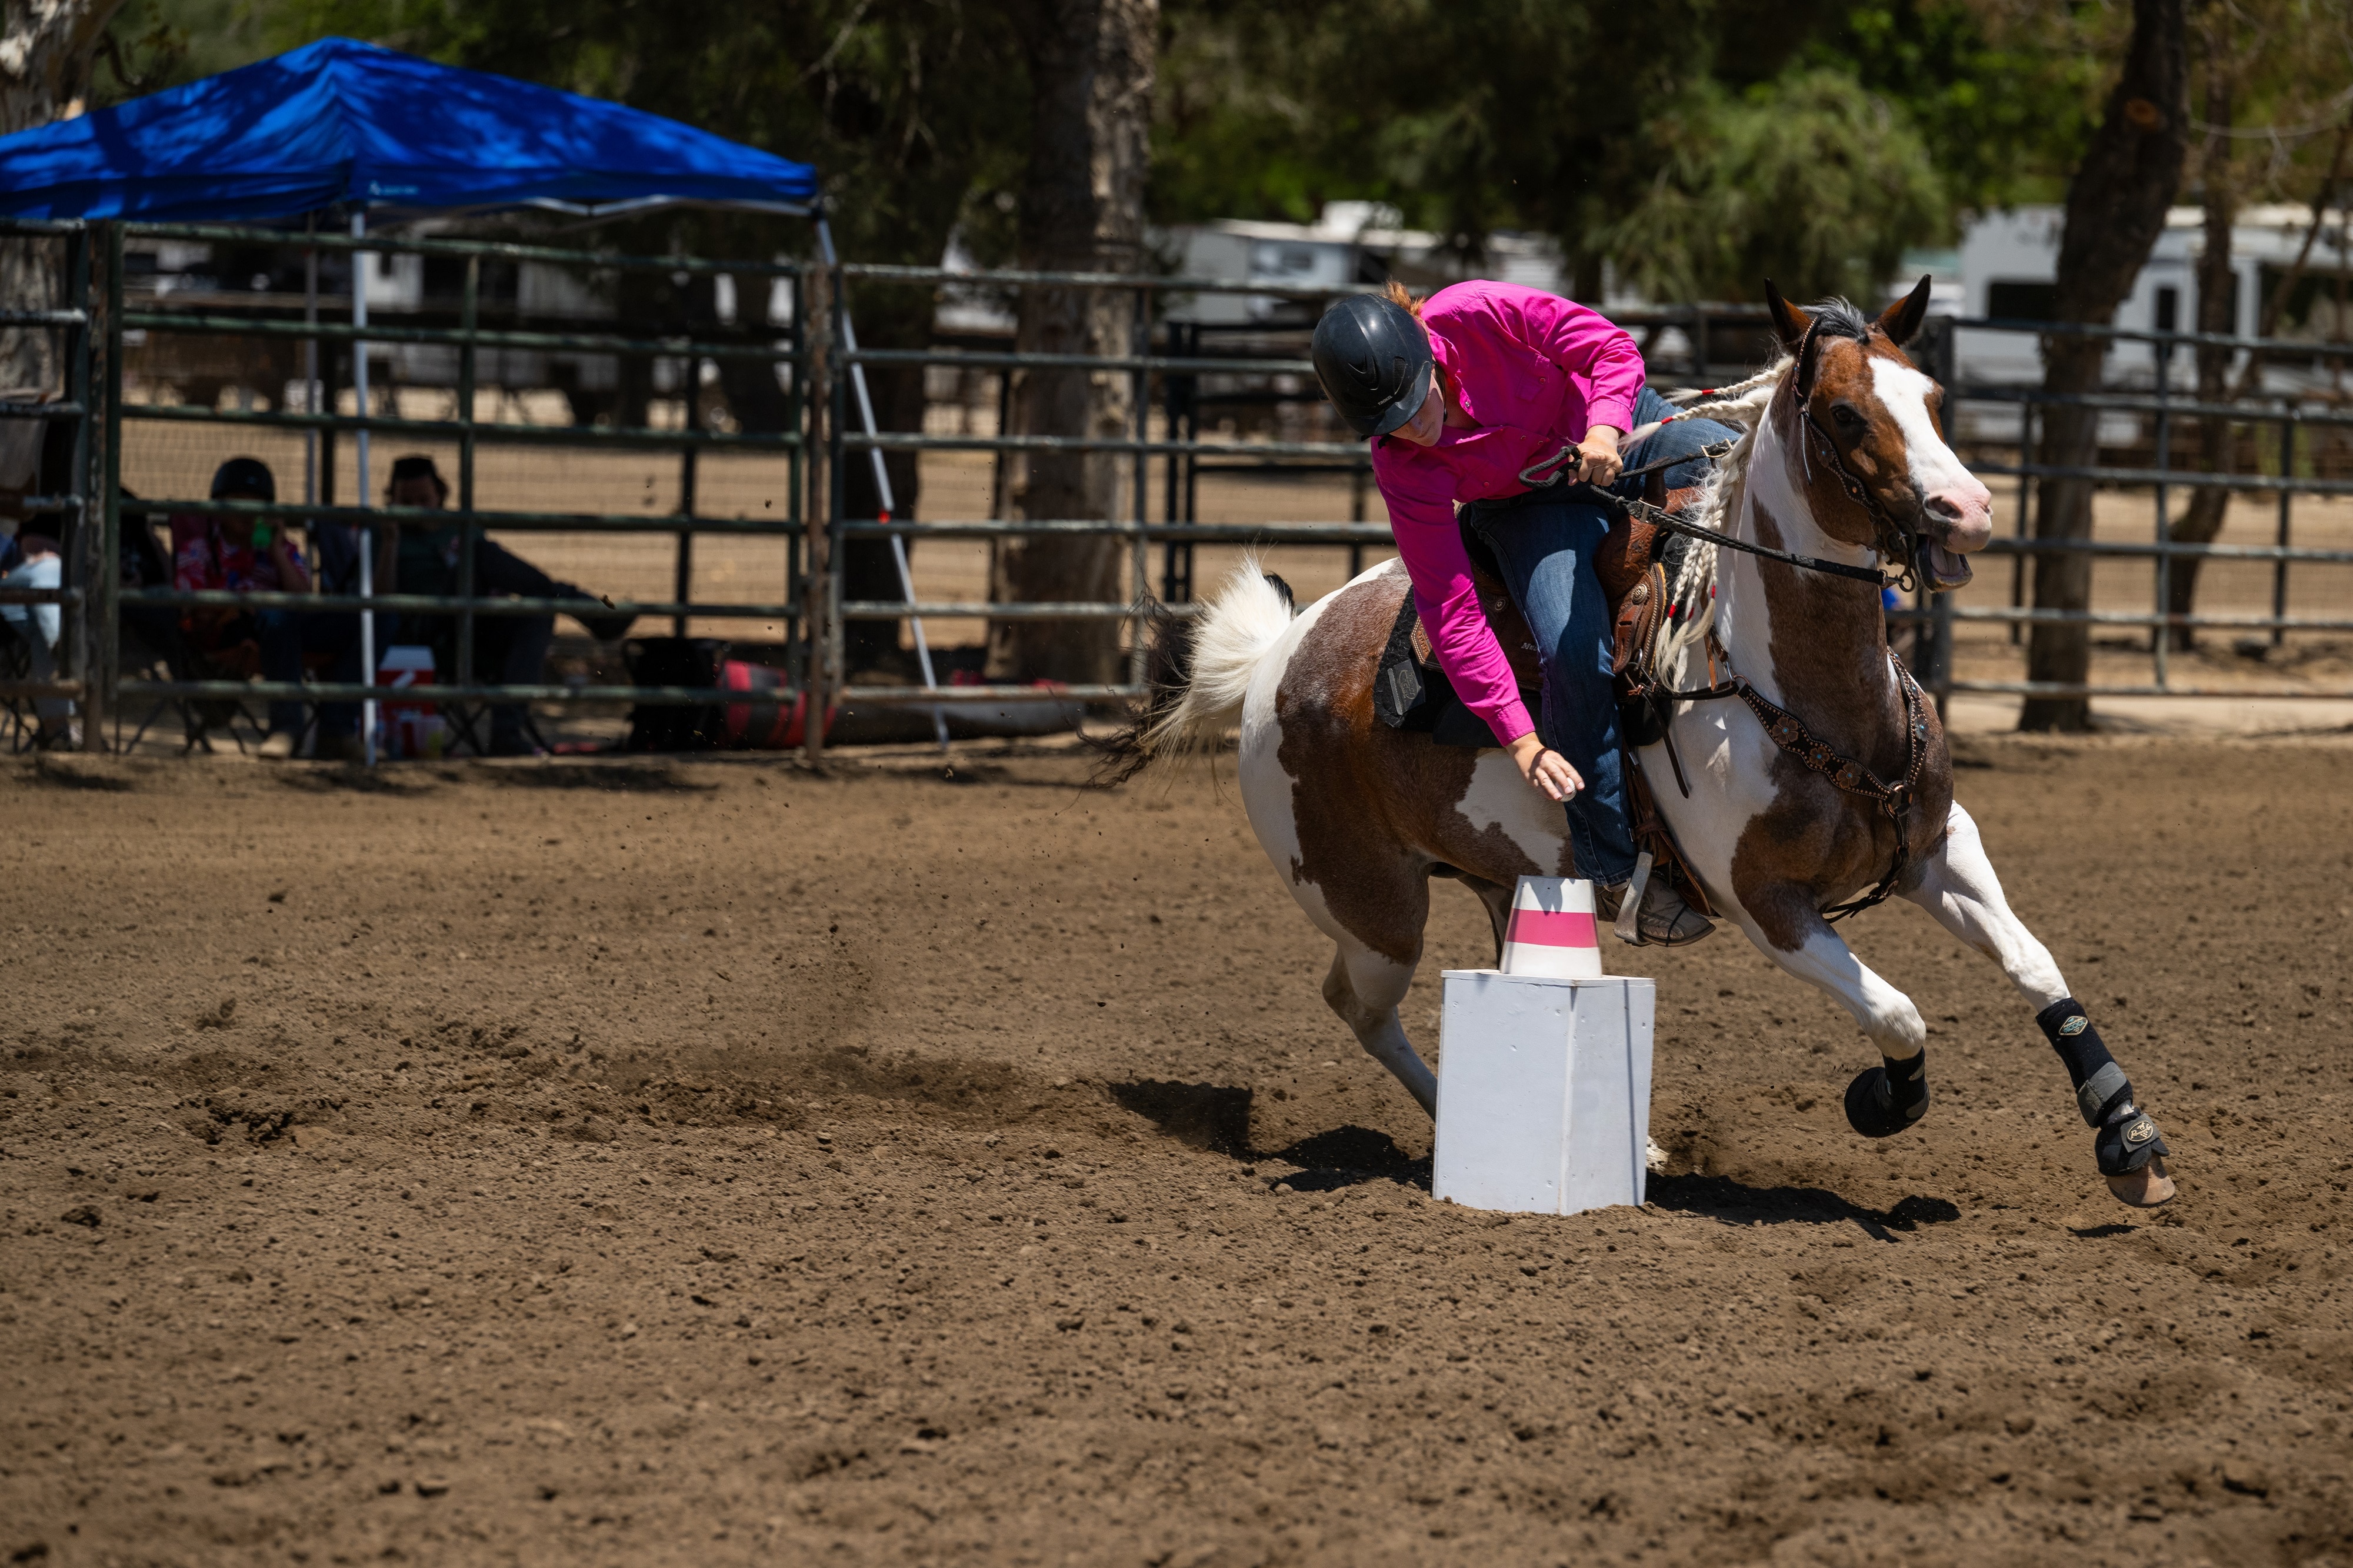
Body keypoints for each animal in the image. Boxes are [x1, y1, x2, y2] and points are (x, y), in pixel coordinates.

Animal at [1097, 279, 2174, 1209]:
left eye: (1932, 396)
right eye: (1842, 414)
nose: (1970, 512)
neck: (1789, 684)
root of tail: (1277, 656)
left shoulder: (1940, 845)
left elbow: (2036, 964)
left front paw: (2127, 1139)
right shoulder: (1769, 909)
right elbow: (1899, 1010)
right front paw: (1882, 1100)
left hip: (1500, 881)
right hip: (1373, 909)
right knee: (1358, 1005)